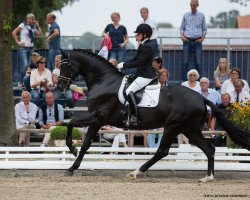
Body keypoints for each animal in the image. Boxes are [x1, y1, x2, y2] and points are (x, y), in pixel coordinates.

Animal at [57, 49, 249, 182]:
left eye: (65, 65)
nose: (59, 87)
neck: (103, 81)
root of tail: (201, 98)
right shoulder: (97, 120)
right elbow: (85, 144)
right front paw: (72, 166)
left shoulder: (98, 117)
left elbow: (71, 122)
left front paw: (72, 150)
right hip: (190, 129)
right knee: (209, 149)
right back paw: (208, 177)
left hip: (173, 126)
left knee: (162, 151)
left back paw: (136, 172)